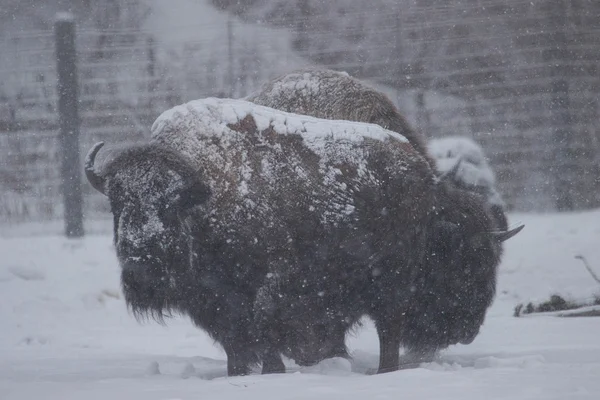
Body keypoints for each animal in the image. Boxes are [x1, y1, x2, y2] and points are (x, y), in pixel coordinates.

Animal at [84, 97, 438, 376]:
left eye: (171, 203)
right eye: (116, 202)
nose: (139, 263)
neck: (205, 196)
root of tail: (416, 162)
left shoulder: (271, 282)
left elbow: (263, 327)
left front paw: (273, 372)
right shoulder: (216, 301)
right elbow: (235, 343)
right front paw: (238, 374)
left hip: (391, 283)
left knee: (389, 329)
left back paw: (385, 371)